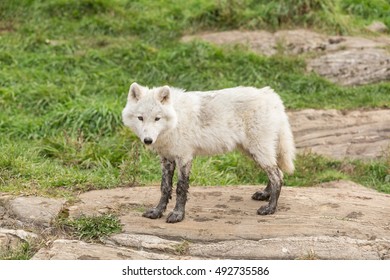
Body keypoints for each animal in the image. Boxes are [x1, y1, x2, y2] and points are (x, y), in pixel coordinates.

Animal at [122, 82, 296, 223]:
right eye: (140, 118)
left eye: (157, 118)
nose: (148, 140)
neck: (176, 119)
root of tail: (270, 94)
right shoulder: (167, 158)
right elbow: (165, 188)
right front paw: (157, 211)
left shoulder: (184, 158)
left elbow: (180, 188)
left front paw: (178, 215)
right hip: (253, 152)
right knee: (277, 172)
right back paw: (265, 195)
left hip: (258, 150)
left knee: (277, 176)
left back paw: (270, 208)